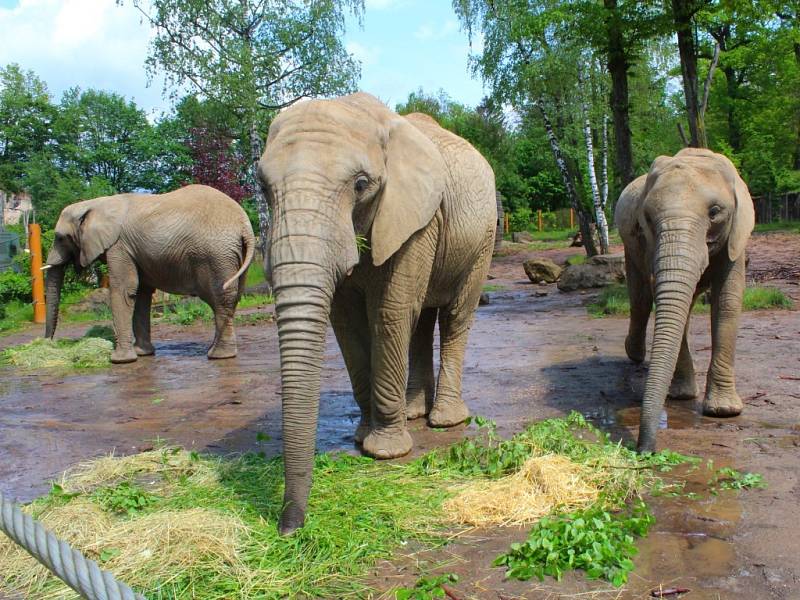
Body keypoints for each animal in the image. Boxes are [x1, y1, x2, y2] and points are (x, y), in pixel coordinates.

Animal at [44, 184, 256, 360]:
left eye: (60, 238)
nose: (48, 342)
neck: (96, 203)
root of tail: (244, 225)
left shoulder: (119, 246)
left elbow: (124, 290)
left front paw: (120, 360)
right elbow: (141, 294)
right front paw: (142, 354)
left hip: (215, 256)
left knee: (220, 298)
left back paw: (219, 355)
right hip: (234, 255)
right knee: (231, 298)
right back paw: (216, 351)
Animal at [260, 91, 496, 532]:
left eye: (360, 185)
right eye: (263, 187)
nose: (288, 528)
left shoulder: (415, 218)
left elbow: (389, 312)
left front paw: (385, 451)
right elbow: (346, 323)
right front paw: (363, 436)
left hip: (484, 238)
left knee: (454, 315)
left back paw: (444, 420)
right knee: (421, 320)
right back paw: (414, 411)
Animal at [616, 148, 752, 452]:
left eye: (714, 212)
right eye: (647, 217)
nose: (644, 450)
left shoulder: (735, 236)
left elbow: (727, 302)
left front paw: (723, 411)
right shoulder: (647, 243)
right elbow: (664, 296)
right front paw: (683, 397)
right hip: (629, 246)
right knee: (641, 298)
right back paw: (636, 354)